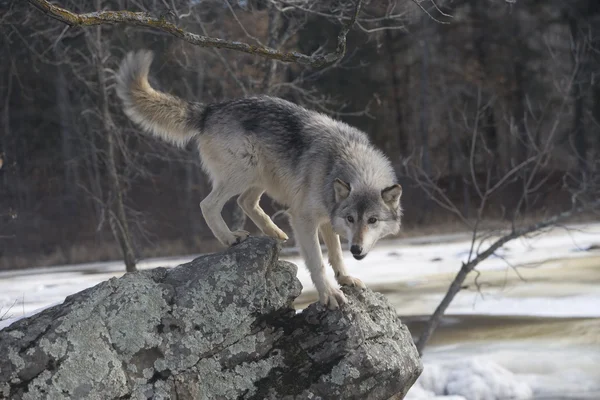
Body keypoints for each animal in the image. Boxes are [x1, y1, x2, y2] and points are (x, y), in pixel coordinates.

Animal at [115, 50, 404, 310]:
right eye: (351, 219)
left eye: (372, 220)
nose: (356, 249)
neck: (343, 160)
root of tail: (211, 109)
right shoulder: (303, 218)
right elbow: (318, 261)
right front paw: (330, 294)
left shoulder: (325, 219)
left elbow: (335, 255)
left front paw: (345, 278)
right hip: (244, 172)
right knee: (208, 204)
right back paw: (230, 238)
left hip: (260, 178)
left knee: (246, 202)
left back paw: (274, 232)